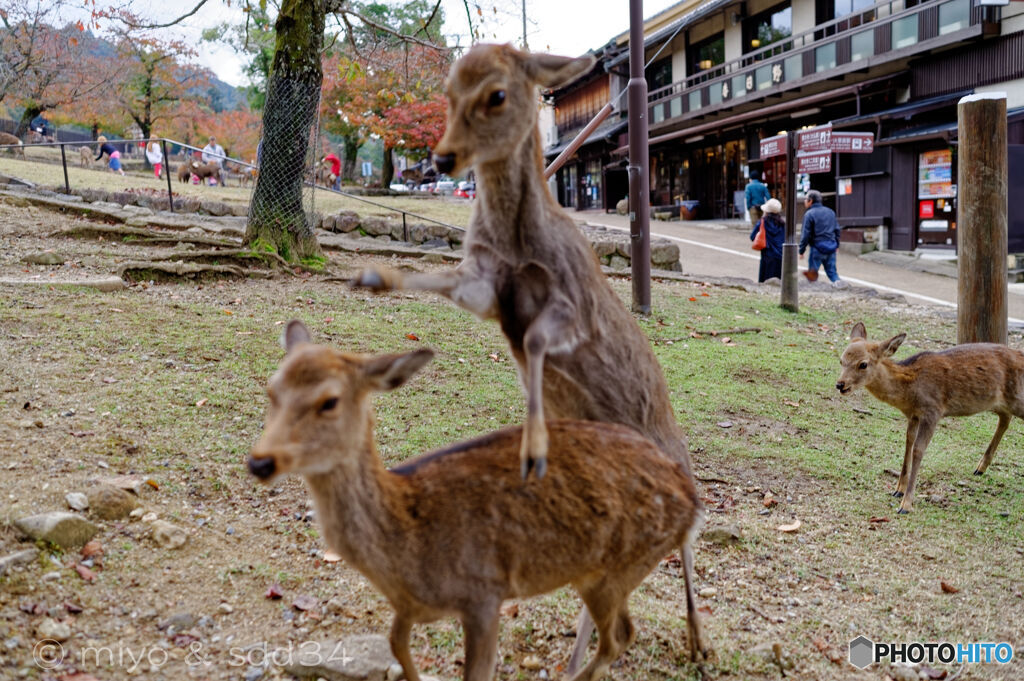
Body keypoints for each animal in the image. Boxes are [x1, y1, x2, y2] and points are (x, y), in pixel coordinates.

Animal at [247, 323, 704, 679]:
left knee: (620, 636)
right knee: (620, 633)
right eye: (271, 390)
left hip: (619, 567)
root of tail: (692, 499)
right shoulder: (410, 608)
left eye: (329, 401)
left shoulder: (483, 594)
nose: (260, 461)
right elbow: (396, 644)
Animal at [348, 45, 708, 671]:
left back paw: (697, 642)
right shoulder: (482, 285)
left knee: (690, 543)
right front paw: (373, 278)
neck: (519, 246)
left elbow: (538, 341)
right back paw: (576, 658)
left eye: (496, 94)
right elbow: (438, 281)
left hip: (680, 472)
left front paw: (534, 445)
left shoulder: (572, 305)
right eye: (446, 92)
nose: (442, 158)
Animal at [835, 321, 1024, 512]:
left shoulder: (933, 411)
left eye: (863, 364)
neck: (910, 390)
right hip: (998, 402)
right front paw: (898, 490)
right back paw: (980, 468)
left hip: (1016, 398)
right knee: (1005, 418)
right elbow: (908, 443)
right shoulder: (913, 415)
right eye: (841, 360)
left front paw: (906, 504)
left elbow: (919, 449)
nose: (840, 384)